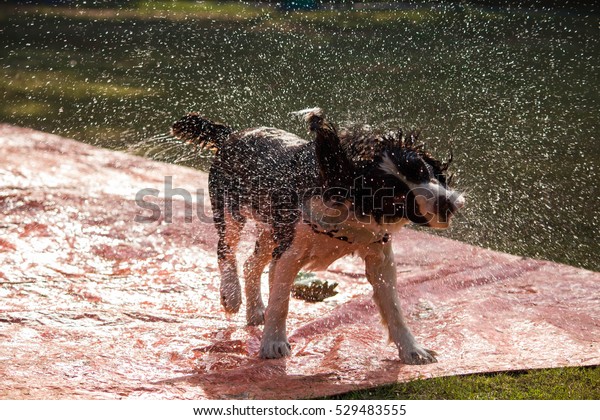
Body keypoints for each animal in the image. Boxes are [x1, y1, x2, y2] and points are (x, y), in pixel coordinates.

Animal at [171, 108, 466, 364]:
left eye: (421, 171)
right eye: (394, 197)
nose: (447, 204)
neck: (344, 200)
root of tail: (230, 135)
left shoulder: (378, 253)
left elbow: (393, 306)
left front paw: (413, 351)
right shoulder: (289, 251)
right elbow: (281, 300)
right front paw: (273, 344)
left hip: (271, 230)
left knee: (251, 263)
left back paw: (255, 311)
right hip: (231, 211)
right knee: (226, 249)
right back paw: (231, 295)